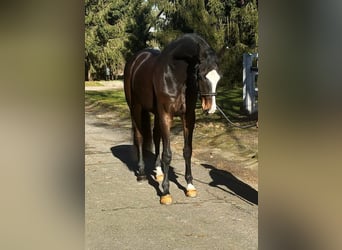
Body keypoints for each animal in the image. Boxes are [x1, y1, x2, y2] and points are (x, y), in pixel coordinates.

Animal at [124, 33, 220, 204]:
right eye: (202, 75)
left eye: (219, 78)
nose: (211, 108)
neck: (175, 73)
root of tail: (135, 60)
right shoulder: (166, 115)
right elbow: (167, 154)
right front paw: (166, 192)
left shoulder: (188, 117)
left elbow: (187, 151)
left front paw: (190, 186)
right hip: (135, 108)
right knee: (139, 137)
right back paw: (141, 173)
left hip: (155, 113)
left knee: (156, 136)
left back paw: (158, 172)